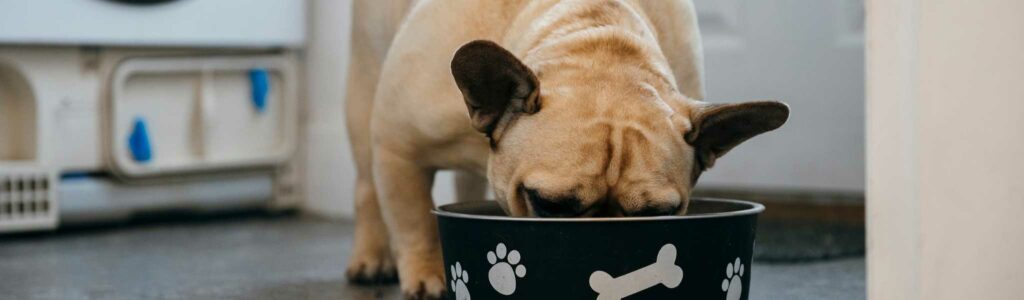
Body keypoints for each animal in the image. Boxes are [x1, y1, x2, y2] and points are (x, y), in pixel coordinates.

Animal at [346, 0, 790, 296]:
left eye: (659, 214)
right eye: (550, 205)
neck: (595, 35)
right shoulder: (398, 144)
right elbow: (412, 219)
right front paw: (427, 275)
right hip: (364, 89)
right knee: (367, 188)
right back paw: (370, 259)